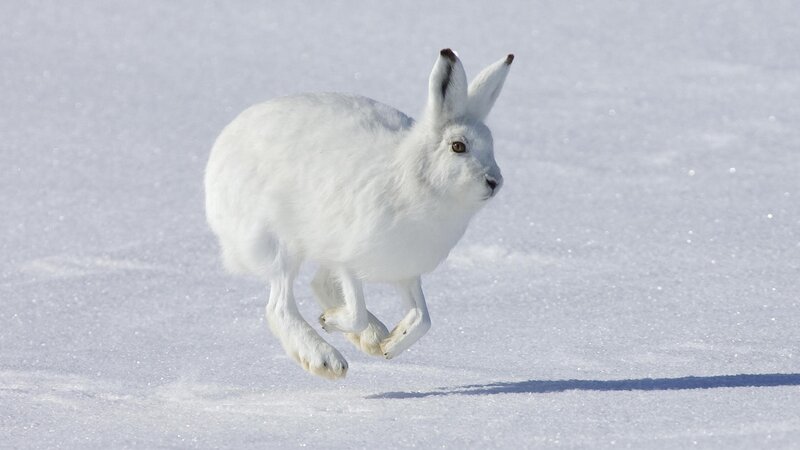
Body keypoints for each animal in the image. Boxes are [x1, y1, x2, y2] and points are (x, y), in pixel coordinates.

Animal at [205, 49, 513, 379]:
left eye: (491, 145)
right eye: (458, 146)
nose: (494, 181)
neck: (415, 180)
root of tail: (219, 155)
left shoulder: (406, 270)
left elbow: (423, 318)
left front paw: (390, 345)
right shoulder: (347, 258)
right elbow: (356, 312)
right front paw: (330, 322)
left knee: (318, 286)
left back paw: (374, 337)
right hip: (279, 243)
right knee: (280, 306)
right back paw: (325, 359)